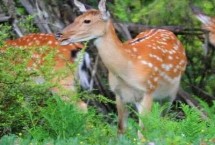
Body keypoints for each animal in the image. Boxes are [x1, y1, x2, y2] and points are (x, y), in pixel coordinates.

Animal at [56, 0, 187, 138]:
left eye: (87, 21)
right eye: (76, 18)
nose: (59, 34)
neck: (128, 68)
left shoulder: (148, 90)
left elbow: (142, 133)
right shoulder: (119, 94)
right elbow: (121, 129)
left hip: (170, 93)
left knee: (163, 119)